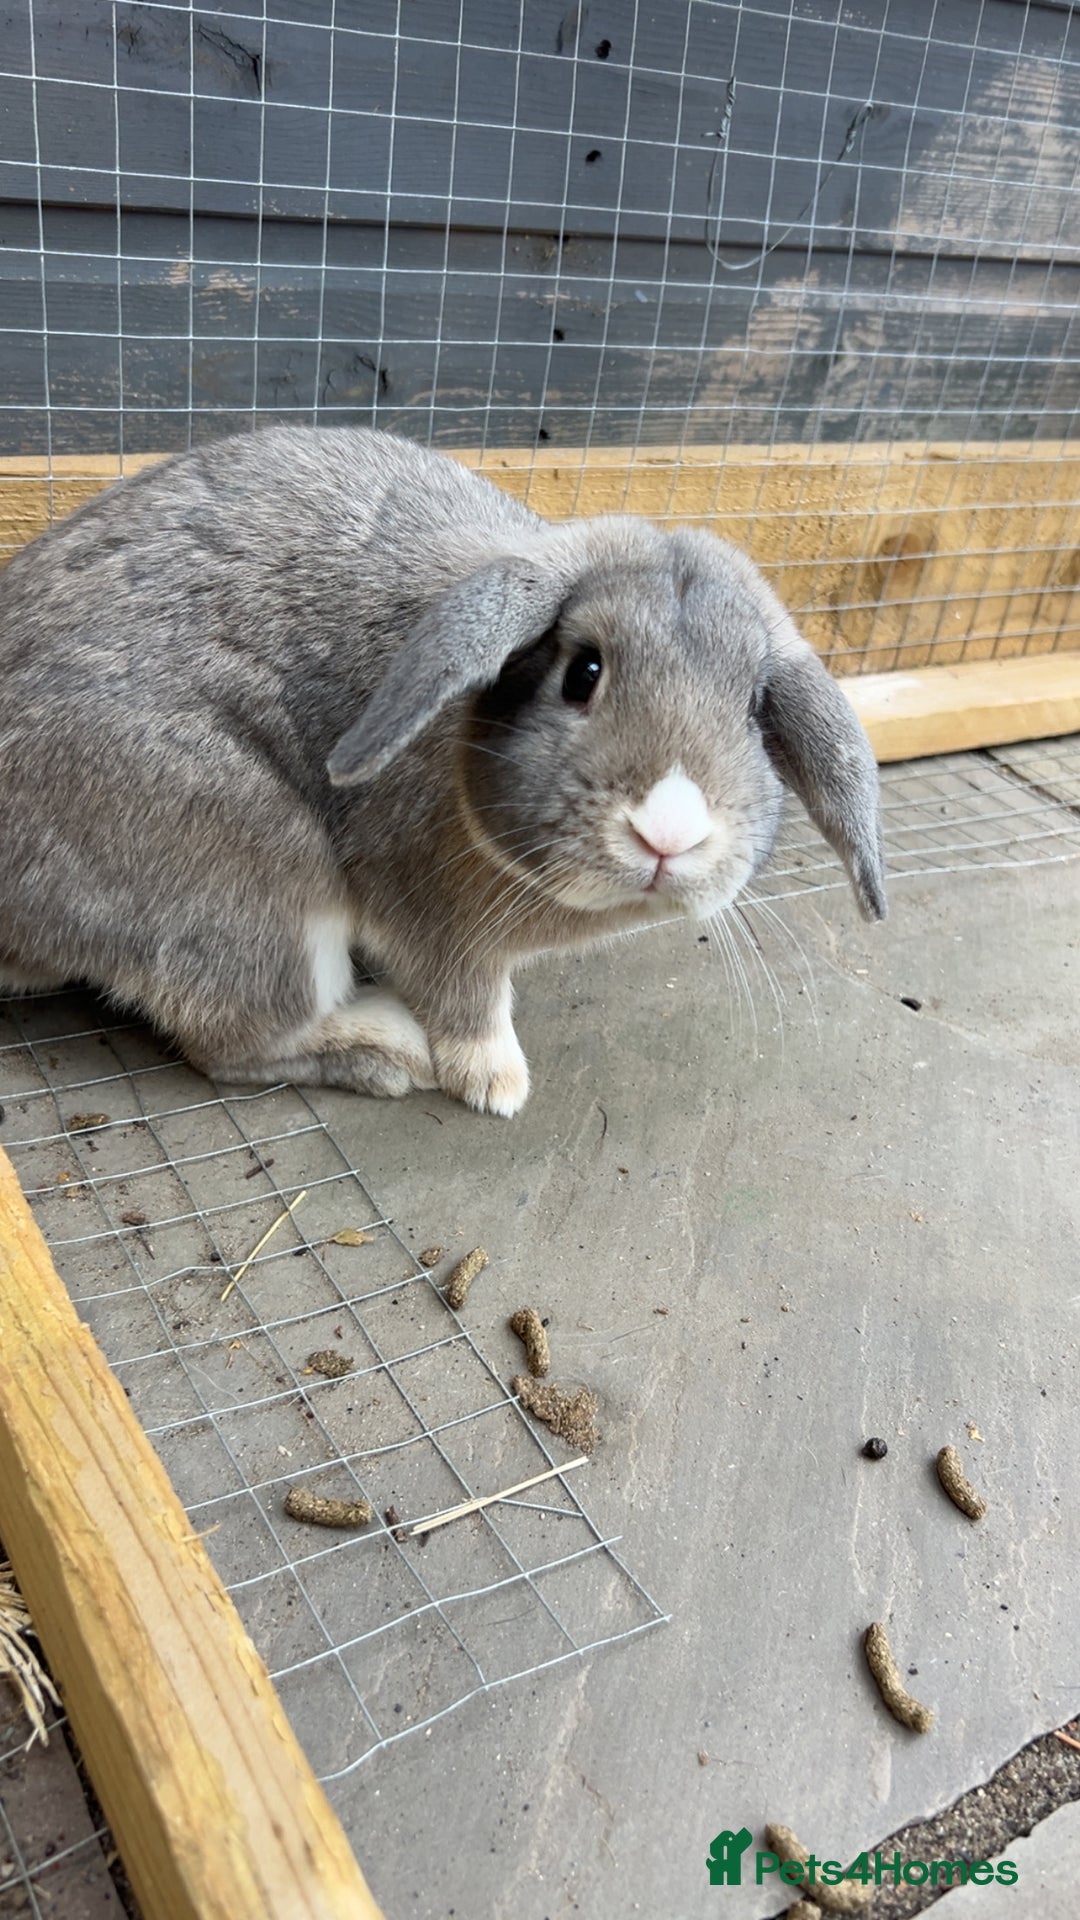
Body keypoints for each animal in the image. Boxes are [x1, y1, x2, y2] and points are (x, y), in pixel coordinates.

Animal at [0, 425, 885, 1116]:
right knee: (233, 1042)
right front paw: (496, 1084)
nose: (667, 833)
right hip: (258, 888)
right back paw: (389, 1049)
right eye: (584, 671)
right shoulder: (432, 922)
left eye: (754, 708)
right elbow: (468, 1004)